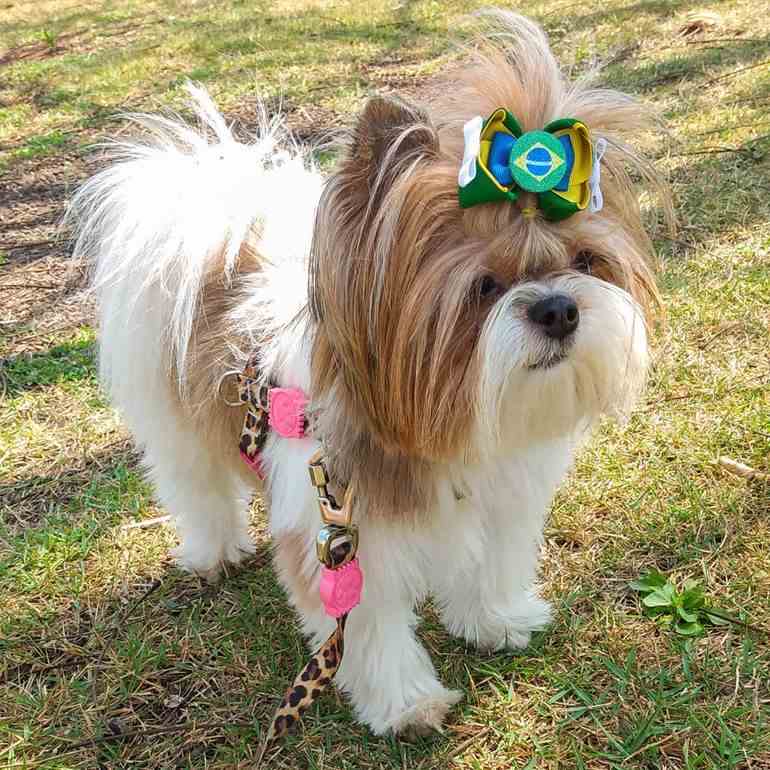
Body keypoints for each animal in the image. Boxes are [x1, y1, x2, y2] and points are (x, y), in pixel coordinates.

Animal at [70, 10, 660, 732]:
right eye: (484, 287)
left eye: (585, 260)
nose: (557, 308)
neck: (441, 432)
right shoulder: (340, 535)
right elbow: (371, 625)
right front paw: (406, 702)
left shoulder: (502, 499)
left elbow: (491, 564)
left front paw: (497, 619)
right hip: (173, 420)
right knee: (195, 486)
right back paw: (213, 551)